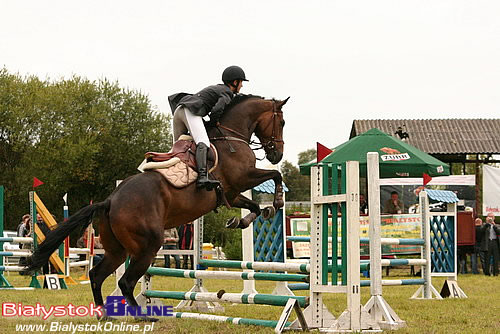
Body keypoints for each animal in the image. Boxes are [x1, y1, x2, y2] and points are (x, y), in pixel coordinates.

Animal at [24, 95, 290, 320]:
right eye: (282, 121)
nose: (277, 154)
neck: (230, 137)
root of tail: (110, 200)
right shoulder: (242, 178)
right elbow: (275, 175)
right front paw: (277, 202)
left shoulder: (231, 194)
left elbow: (253, 205)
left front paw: (243, 219)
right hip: (148, 245)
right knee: (125, 282)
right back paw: (142, 315)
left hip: (118, 250)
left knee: (96, 275)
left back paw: (104, 314)